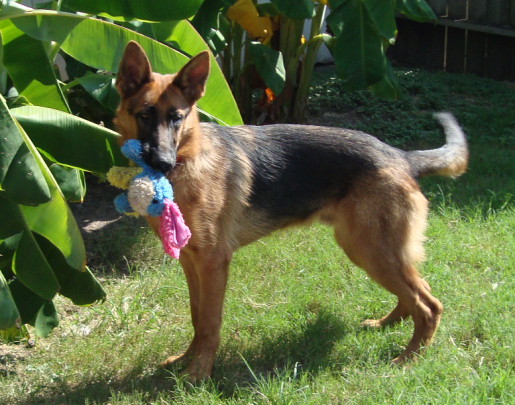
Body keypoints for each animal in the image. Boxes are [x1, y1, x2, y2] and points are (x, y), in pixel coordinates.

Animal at [115, 41, 470, 382]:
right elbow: (195, 314)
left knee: (429, 305)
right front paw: (186, 360)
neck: (189, 159)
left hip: (369, 250)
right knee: (417, 292)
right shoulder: (191, 261)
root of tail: (401, 156)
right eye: (145, 115)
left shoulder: (213, 263)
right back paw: (388, 325)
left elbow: (209, 322)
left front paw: (199, 373)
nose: (162, 162)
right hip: (375, 251)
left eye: (176, 117)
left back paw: (408, 359)